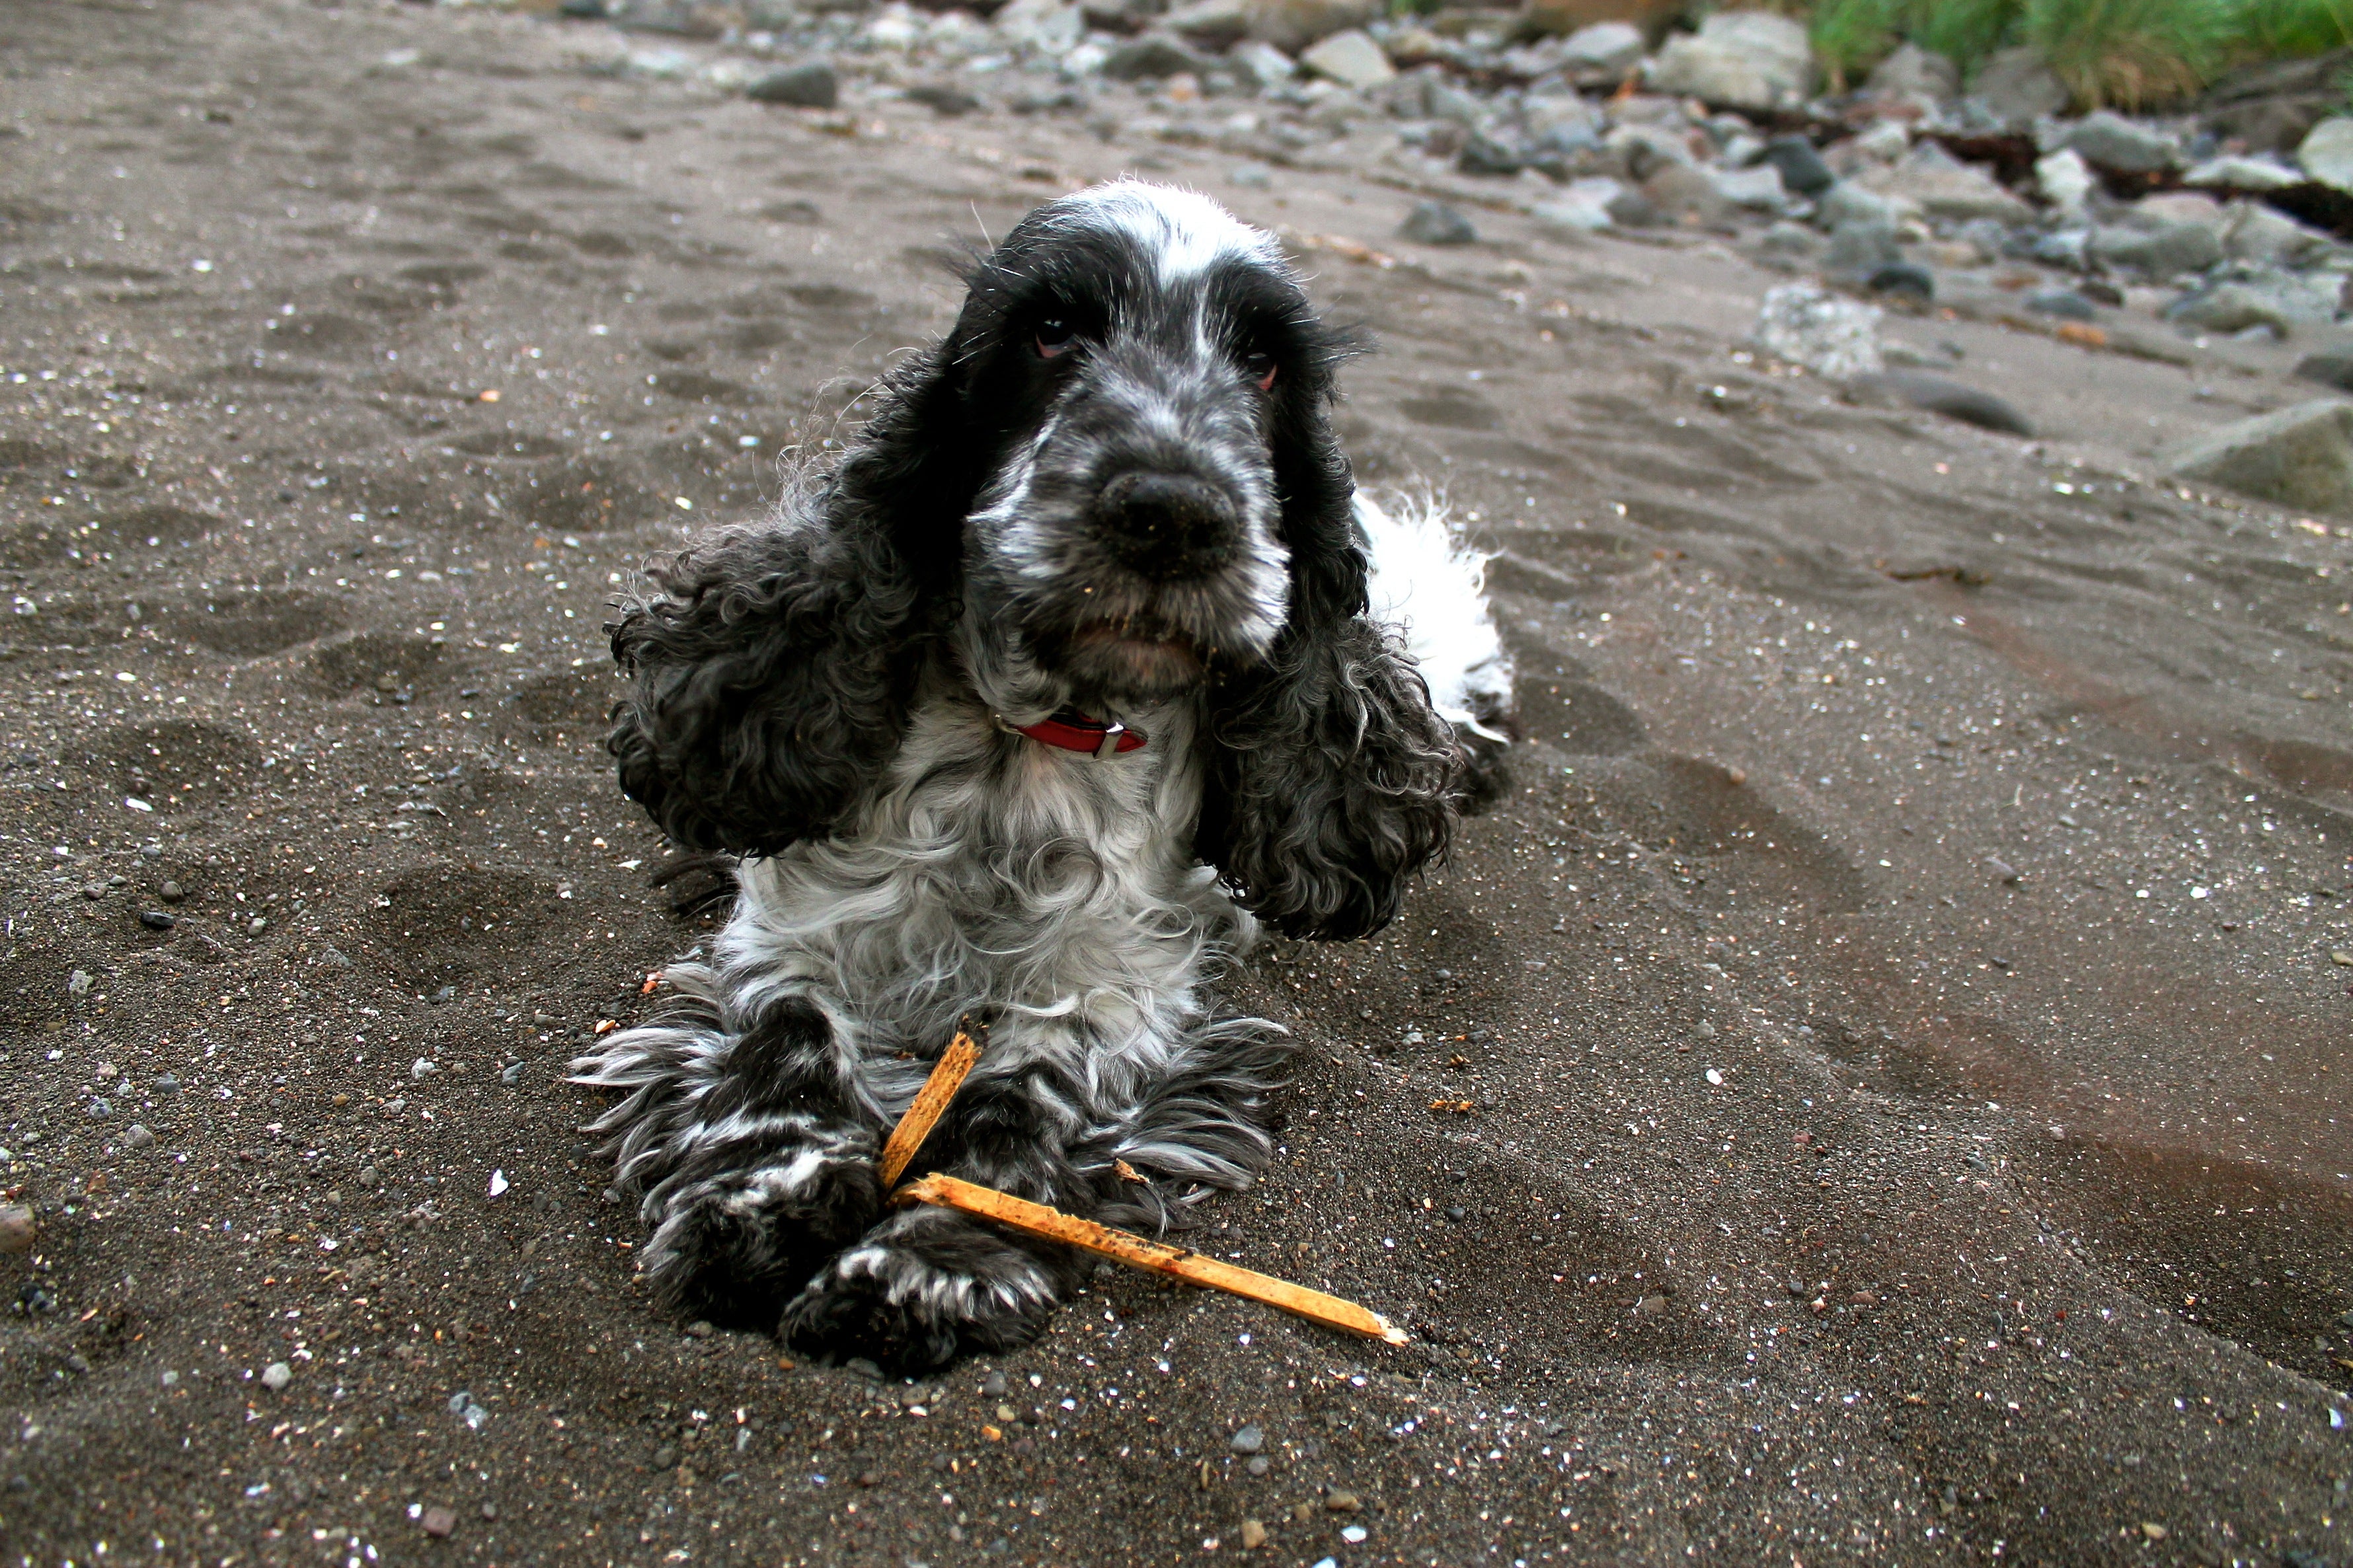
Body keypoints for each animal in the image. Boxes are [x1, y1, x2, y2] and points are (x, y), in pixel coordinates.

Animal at [569, 177, 1506, 1363]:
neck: (1030, 747)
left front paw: (930, 1264)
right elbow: (783, 1041)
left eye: (1265, 365)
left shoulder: (1120, 981)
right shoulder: (796, 933)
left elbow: (1029, 1101)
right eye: (1052, 329)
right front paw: (757, 1206)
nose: (1172, 513)